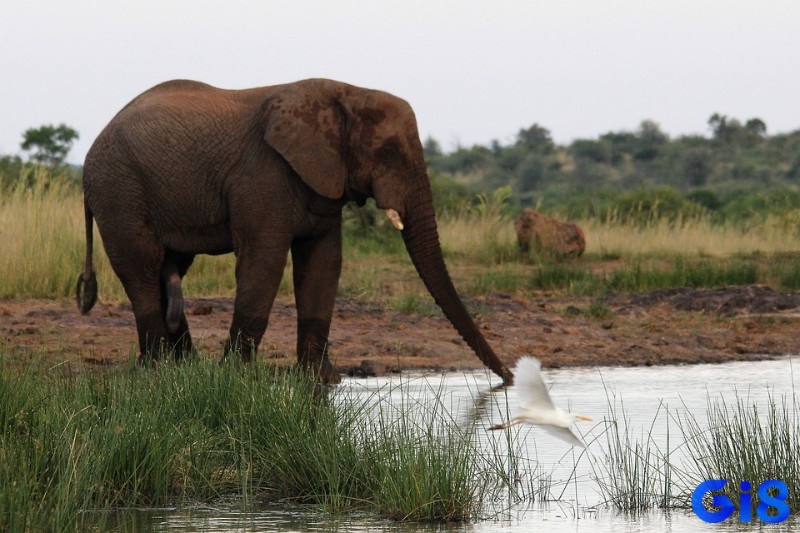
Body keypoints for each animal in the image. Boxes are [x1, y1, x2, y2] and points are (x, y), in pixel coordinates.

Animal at [75, 77, 512, 384]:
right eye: (388, 152)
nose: (508, 378)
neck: (346, 93)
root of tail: (89, 154)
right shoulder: (263, 175)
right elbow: (264, 261)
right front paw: (236, 378)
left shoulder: (322, 179)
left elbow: (323, 263)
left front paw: (323, 382)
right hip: (119, 191)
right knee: (143, 270)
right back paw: (159, 370)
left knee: (171, 268)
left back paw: (186, 370)